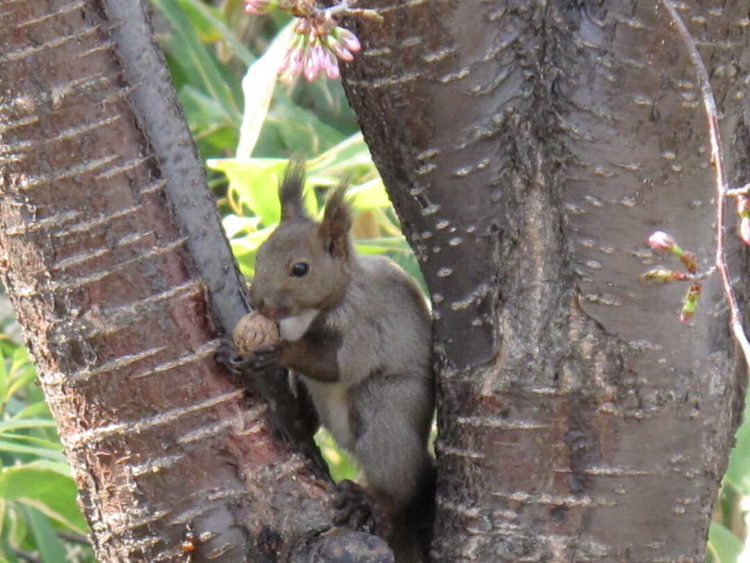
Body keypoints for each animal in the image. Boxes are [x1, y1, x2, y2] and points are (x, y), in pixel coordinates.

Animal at [228, 161, 434, 560]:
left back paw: (369, 499)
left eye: (301, 269)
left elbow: (334, 365)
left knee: (397, 477)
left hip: (386, 408)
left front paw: (275, 352)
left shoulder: (363, 327)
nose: (259, 301)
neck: (308, 313)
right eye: (259, 255)